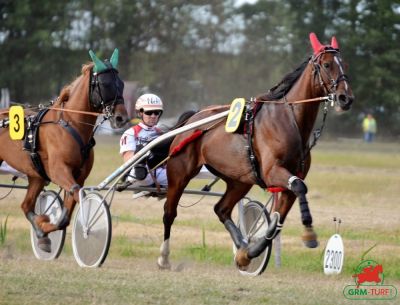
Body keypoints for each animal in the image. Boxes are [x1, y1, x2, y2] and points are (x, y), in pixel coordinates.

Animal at [0, 48, 127, 252]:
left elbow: (66, 214)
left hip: (36, 176)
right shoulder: (59, 170)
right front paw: (87, 226)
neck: (69, 124)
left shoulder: (78, 175)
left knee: (26, 205)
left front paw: (43, 229)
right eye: (105, 84)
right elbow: (77, 193)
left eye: (121, 84)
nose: (121, 118)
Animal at [158, 33, 354, 270]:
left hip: (240, 180)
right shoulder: (272, 172)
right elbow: (299, 187)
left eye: (344, 65)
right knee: (169, 212)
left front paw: (249, 252)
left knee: (221, 209)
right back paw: (164, 257)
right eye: (326, 65)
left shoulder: (288, 179)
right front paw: (309, 233)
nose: (346, 98)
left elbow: (278, 220)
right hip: (179, 173)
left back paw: (241, 246)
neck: (289, 121)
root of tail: (193, 118)